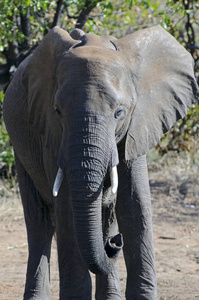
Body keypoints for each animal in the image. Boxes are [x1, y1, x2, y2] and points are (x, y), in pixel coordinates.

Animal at [3, 26, 199, 300]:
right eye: (57, 110)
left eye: (119, 112)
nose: (115, 242)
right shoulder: (52, 133)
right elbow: (66, 206)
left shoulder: (137, 126)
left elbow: (134, 203)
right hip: (20, 145)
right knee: (39, 222)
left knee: (106, 217)